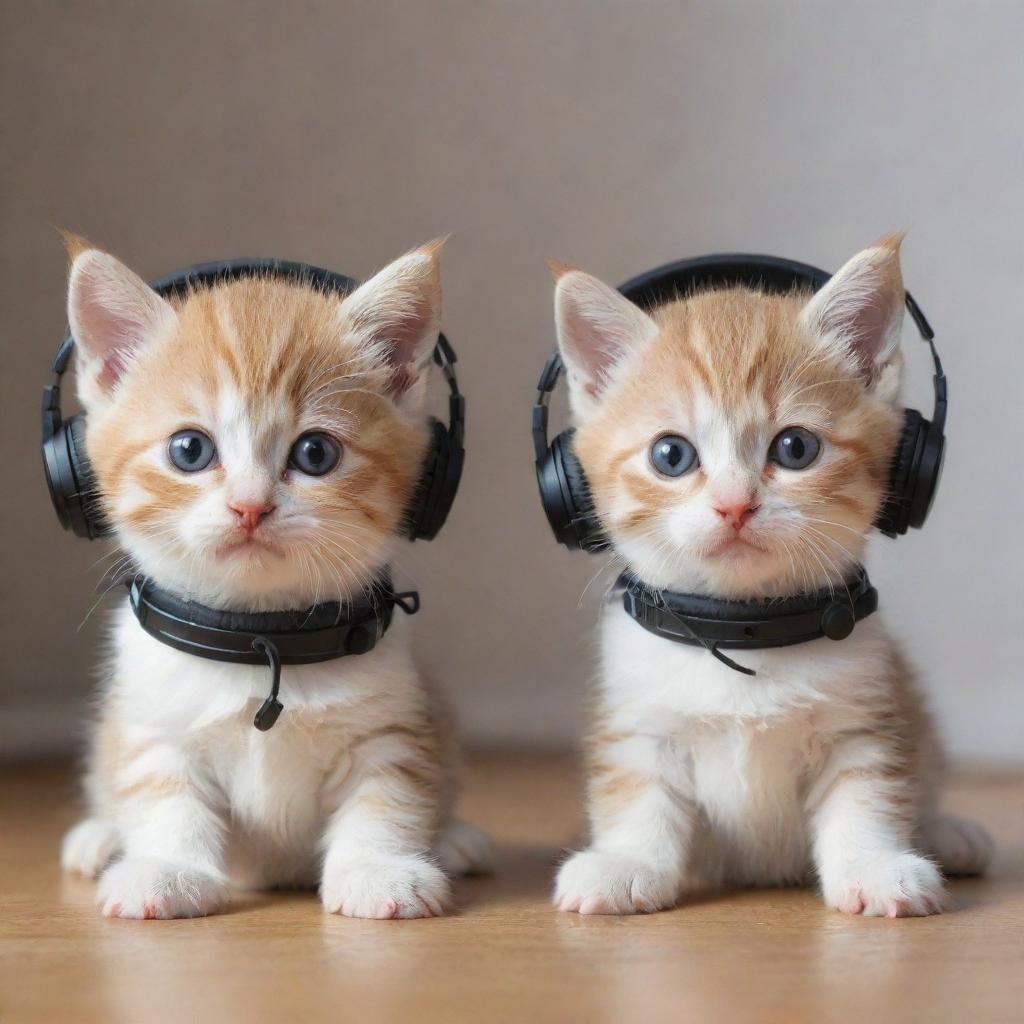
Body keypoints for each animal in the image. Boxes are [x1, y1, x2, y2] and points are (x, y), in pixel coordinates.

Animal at [59, 237, 491, 921]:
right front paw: (168, 869)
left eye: (316, 454)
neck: (261, 642)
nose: (250, 506)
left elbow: (387, 796)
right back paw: (99, 838)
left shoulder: (390, 725)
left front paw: (377, 869)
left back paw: (453, 839)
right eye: (189, 450)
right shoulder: (154, 723)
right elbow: (163, 794)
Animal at [552, 239, 991, 921]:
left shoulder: (862, 716)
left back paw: (950, 834)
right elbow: (637, 792)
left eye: (795, 448)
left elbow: (866, 794)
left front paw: (874, 866)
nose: (734, 504)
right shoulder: (639, 717)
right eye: (671, 455)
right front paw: (626, 863)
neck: (742, 630)